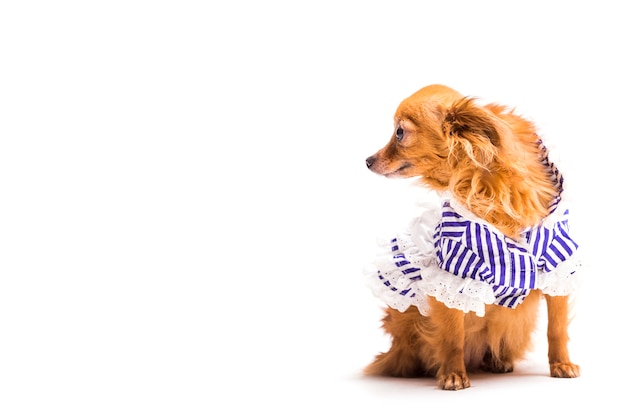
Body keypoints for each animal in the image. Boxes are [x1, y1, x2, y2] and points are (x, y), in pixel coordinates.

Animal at [364, 84, 576, 390]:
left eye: (400, 132)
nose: (367, 161)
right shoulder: (454, 275)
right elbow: (453, 335)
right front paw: (453, 374)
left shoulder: (558, 267)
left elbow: (556, 328)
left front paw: (562, 364)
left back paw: (497, 361)